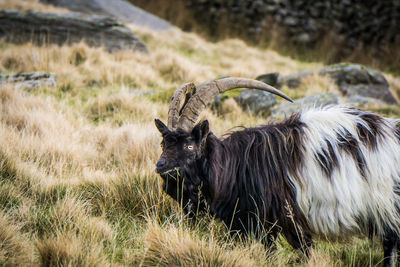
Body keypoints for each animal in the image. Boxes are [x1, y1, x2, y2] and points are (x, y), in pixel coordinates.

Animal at [154, 77, 400, 266]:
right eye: (163, 144)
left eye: (189, 146)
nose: (161, 166)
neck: (238, 166)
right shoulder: (251, 224)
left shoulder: (288, 220)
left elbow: (302, 251)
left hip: (387, 209)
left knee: (390, 247)